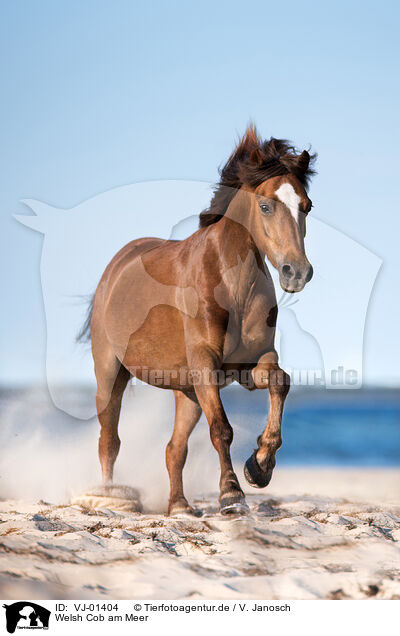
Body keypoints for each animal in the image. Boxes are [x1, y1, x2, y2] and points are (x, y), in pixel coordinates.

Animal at [78, 125, 316, 516]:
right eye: (265, 205)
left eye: (307, 207)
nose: (296, 272)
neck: (233, 287)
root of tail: (114, 268)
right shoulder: (206, 363)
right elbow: (222, 429)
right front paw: (232, 493)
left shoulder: (248, 366)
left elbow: (281, 382)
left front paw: (259, 467)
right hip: (111, 373)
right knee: (108, 441)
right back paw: (110, 497)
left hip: (186, 391)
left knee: (174, 449)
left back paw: (179, 506)